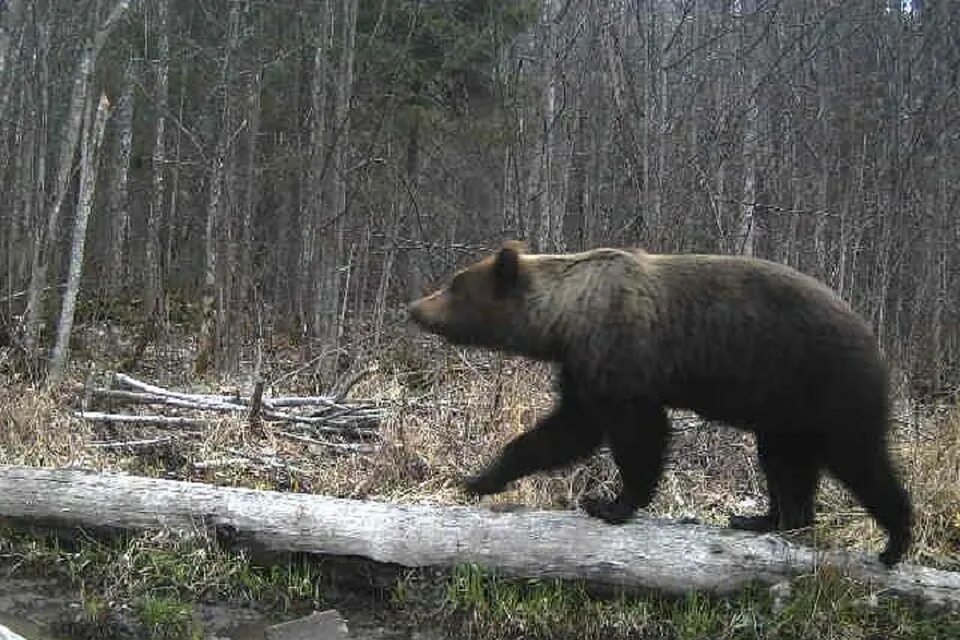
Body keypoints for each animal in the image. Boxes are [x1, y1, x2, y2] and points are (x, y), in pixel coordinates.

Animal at [406, 242, 916, 568]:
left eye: (454, 285)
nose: (413, 307)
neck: (565, 317)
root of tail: (875, 339)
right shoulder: (583, 365)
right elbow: (567, 429)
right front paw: (480, 477)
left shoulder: (621, 355)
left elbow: (636, 433)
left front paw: (611, 503)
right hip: (786, 410)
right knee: (784, 461)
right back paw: (764, 518)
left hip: (828, 384)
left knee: (858, 458)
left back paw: (894, 540)